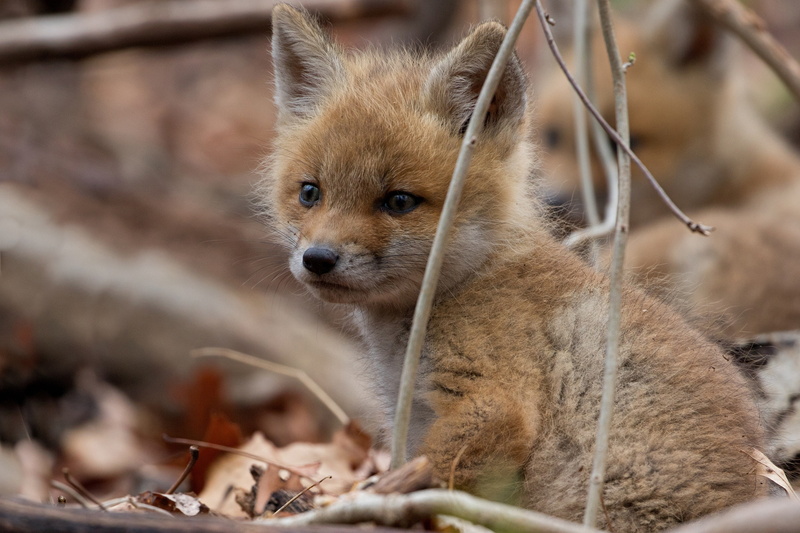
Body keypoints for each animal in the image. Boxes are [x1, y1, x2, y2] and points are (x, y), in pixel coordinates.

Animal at [259, 4, 768, 530]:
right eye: (310, 193)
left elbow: (428, 481)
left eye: (399, 201)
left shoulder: (495, 402)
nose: (317, 259)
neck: (464, 283)